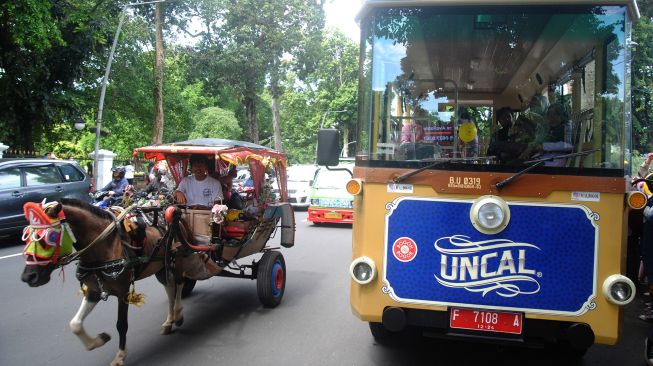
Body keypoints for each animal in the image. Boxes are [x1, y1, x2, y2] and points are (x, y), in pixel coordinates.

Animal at [18, 199, 214, 366]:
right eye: (27, 237)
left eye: (48, 238)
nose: (28, 277)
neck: (103, 245)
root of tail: (176, 213)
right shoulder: (94, 290)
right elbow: (75, 324)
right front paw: (99, 340)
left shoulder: (122, 291)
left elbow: (121, 325)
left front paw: (120, 356)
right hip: (161, 266)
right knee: (170, 288)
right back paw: (169, 320)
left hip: (177, 260)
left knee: (179, 285)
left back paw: (178, 314)